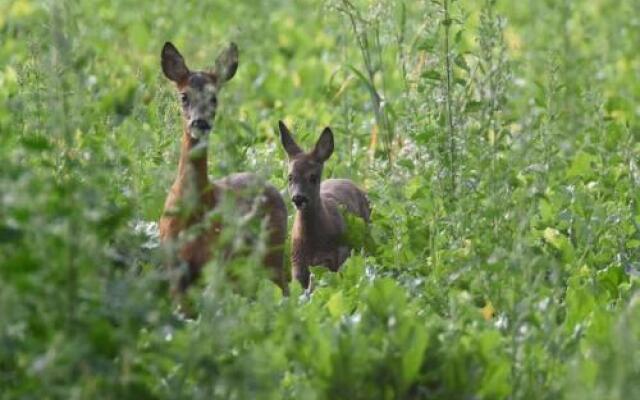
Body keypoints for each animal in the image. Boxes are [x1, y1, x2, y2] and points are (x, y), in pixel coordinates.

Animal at [158, 42, 288, 296]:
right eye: (184, 96)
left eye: (214, 98)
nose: (200, 122)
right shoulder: (174, 267)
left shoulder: (215, 263)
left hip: (273, 256)